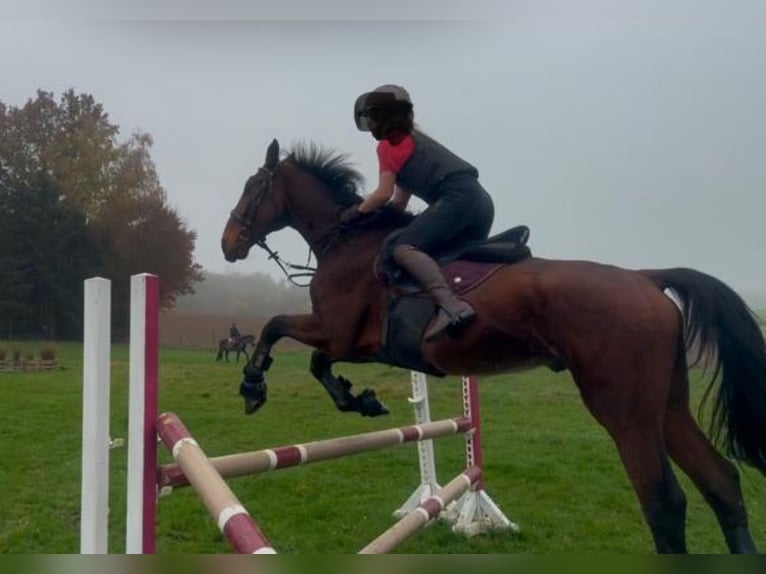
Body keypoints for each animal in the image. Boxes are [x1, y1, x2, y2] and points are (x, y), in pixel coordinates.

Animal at [219, 138, 764, 552]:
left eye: (251, 188)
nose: (228, 244)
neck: (346, 241)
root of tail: (646, 278)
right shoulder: (354, 342)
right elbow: (317, 363)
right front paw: (362, 400)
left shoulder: (339, 331)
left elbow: (276, 328)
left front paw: (252, 387)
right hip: (667, 404)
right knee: (721, 481)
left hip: (624, 410)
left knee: (665, 503)